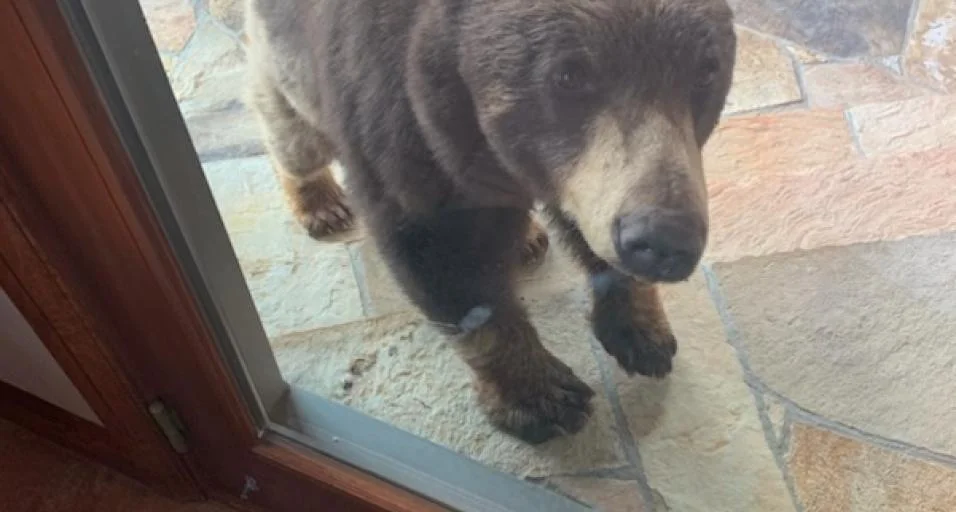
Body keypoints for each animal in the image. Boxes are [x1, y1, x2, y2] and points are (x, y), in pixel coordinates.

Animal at [245, 0, 736, 444]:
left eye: (706, 71)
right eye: (570, 75)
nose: (663, 240)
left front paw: (643, 331)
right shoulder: (396, 117)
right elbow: (448, 260)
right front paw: (544, 397)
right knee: (293, 133)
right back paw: (320, 201)